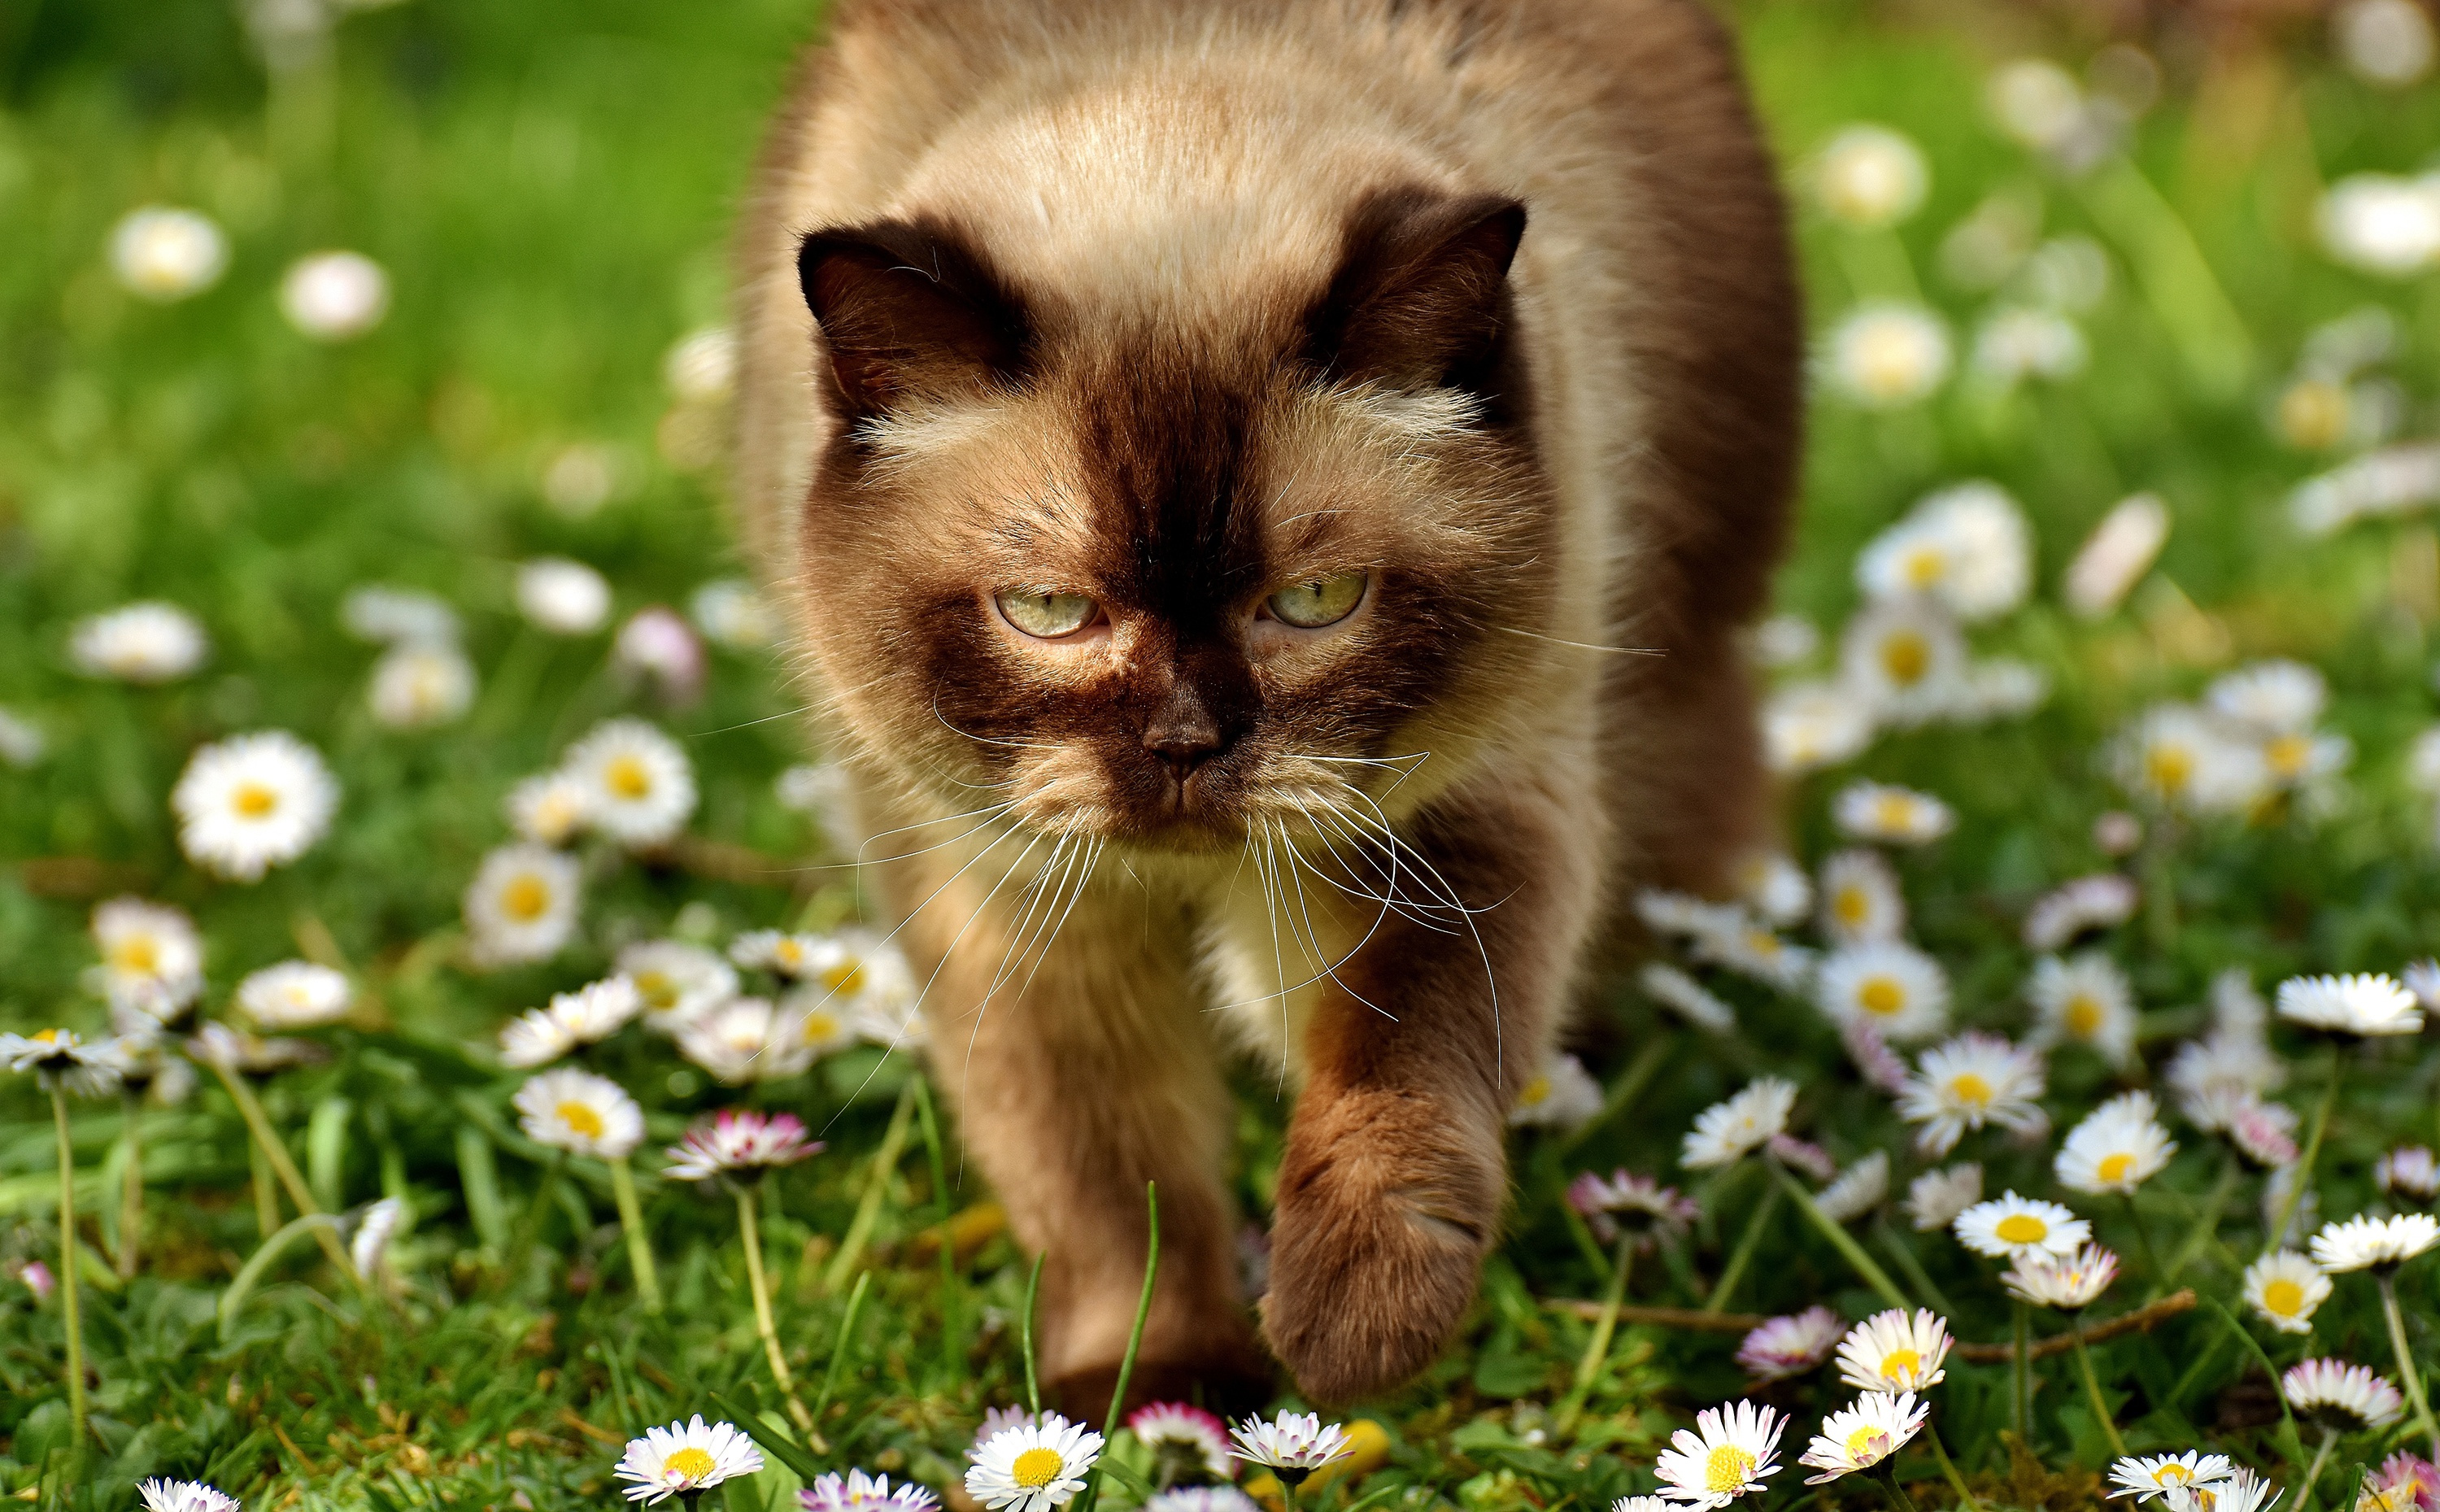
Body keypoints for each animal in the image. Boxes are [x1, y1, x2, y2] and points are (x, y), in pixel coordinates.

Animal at [722, 0, 1796, 1414]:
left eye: (1315, 600)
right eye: (1050, 612)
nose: (1186, 741)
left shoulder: (1457, 830)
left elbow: (1397, 1076)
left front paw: (1351, 1333)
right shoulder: (1011, 903)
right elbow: (1105, 1177)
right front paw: (1156, 1387)